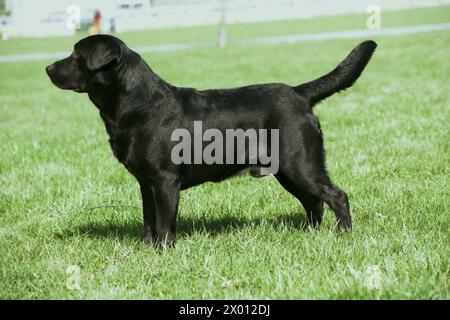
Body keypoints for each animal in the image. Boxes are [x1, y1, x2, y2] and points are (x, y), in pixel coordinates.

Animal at [46, 35, 376, 246]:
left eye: (76, 55)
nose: (47, 68)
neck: (137, 103)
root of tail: (299, 93)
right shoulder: (146, 183)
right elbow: (148, 220)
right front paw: (145, 250)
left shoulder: (165, 182)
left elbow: (164, 224)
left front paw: (164, 252)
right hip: (287, 171)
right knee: (313, 202)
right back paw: (309, 234)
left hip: (300, 164)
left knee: (336, 195)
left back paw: (344, 235)